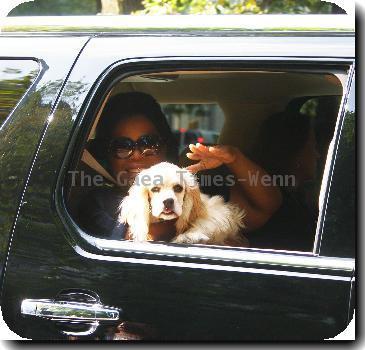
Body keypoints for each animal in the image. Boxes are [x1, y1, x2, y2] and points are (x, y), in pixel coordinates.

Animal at [118, 161, 246, 245]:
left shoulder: (221, 211)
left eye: (178, 188)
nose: (168, 201)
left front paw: (188, 236)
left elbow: (205, 222)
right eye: (154, 189)